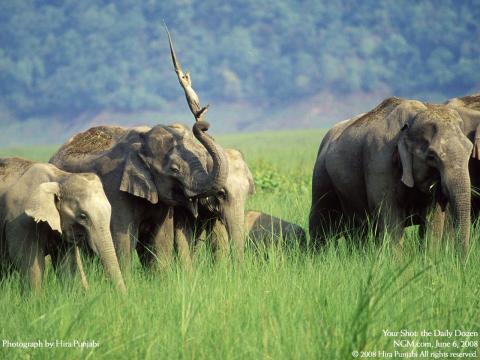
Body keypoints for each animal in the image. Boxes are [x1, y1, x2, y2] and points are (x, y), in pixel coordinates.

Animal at [0, 158, 126, 292]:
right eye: (83, 216)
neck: (59, 178)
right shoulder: (21, 222)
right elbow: (31, 265)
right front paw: (35, 298)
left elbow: (67, 265)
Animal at [310, 96, 474, 253]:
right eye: (432, 156)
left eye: (470, 150)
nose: (461, 258)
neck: (414, 117)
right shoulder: (379, 160)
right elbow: (390, 218)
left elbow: (433, 221)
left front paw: (430, 257)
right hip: (322, 175)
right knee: (321, 222)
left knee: (358, 230)